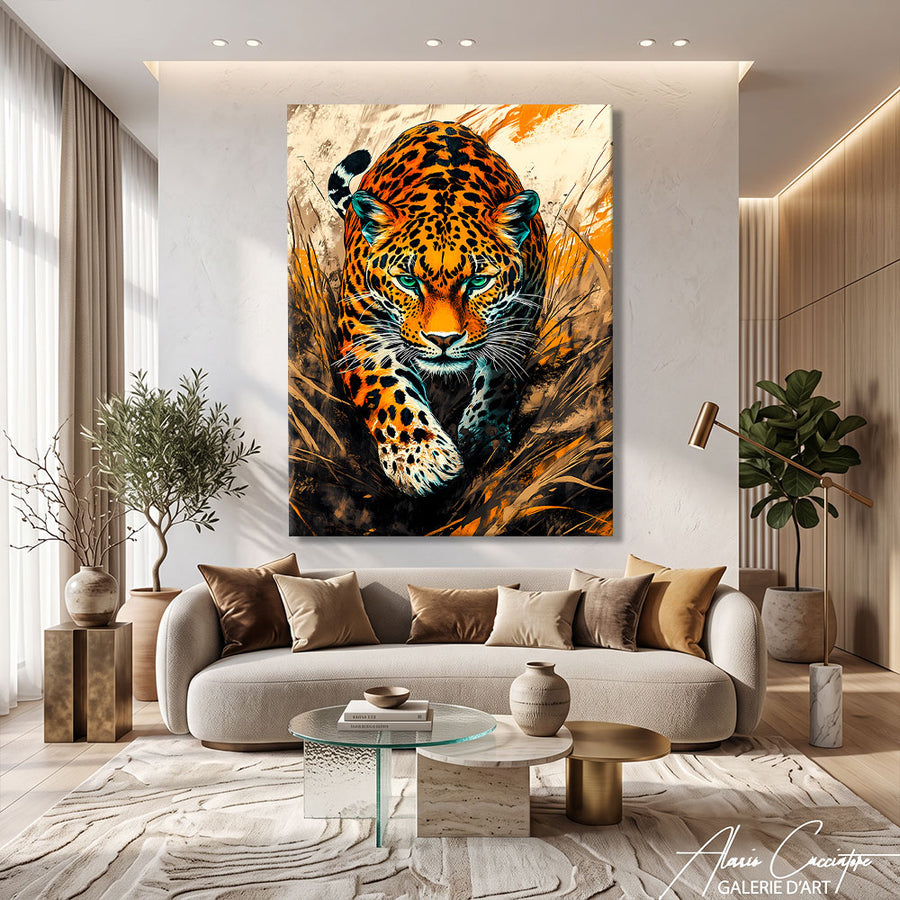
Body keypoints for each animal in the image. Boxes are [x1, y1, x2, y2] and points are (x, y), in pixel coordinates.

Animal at [328, 120, 548, 496]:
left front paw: (484, 435)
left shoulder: (519, 317)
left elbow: (499, 380)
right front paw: (422, 459)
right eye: (407, 281)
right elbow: (388, 391)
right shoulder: (362, 329)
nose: (443, 340)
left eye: (478, 281)